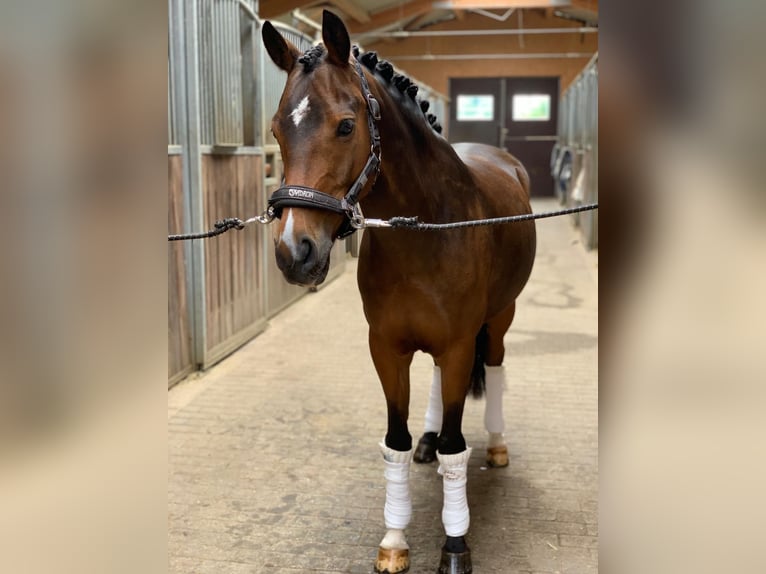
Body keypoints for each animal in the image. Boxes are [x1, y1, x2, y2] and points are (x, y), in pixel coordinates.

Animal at [262, 11, 536, 574]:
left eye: (346, 125)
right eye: (277, 129)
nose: (295, 252)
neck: (426, 229)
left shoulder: (459, 345)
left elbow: (456, 446)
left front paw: (455, 545)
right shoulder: (387, 348)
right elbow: (396, 441)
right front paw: (393, 540)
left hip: (500, 318)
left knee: (496, 368)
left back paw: (498, 446)